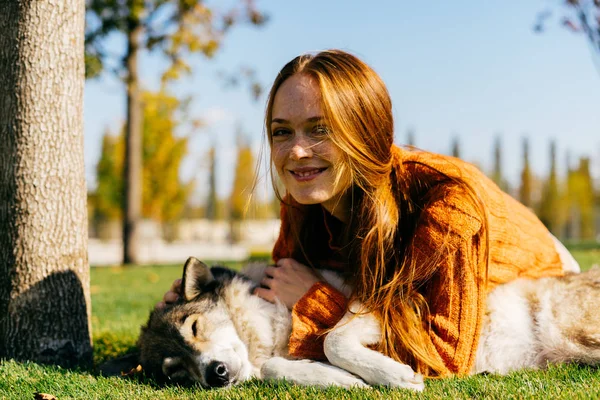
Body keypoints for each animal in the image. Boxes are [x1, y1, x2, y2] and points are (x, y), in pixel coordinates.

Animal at [110, 256, 600, 390]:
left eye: (194, 327)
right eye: (175, 372)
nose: (214, 375)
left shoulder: (391, 305)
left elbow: (334, 339)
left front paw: (394, 377)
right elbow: (282, 368)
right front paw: (340, 380)